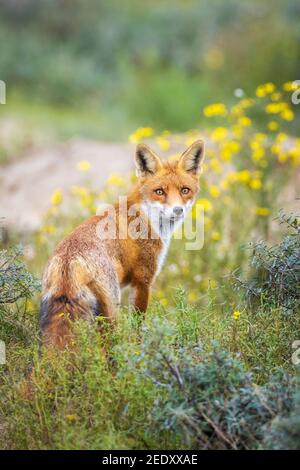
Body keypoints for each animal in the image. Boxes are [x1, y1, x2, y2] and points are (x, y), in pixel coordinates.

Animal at [41, 140, 205, 346]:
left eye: (185, 190)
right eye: (159, 191)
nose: (177, 210)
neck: (145, 215)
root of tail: (70, 259)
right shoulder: (142, 281)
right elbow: (137, 327)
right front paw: (138, 349)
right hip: (111, 310)